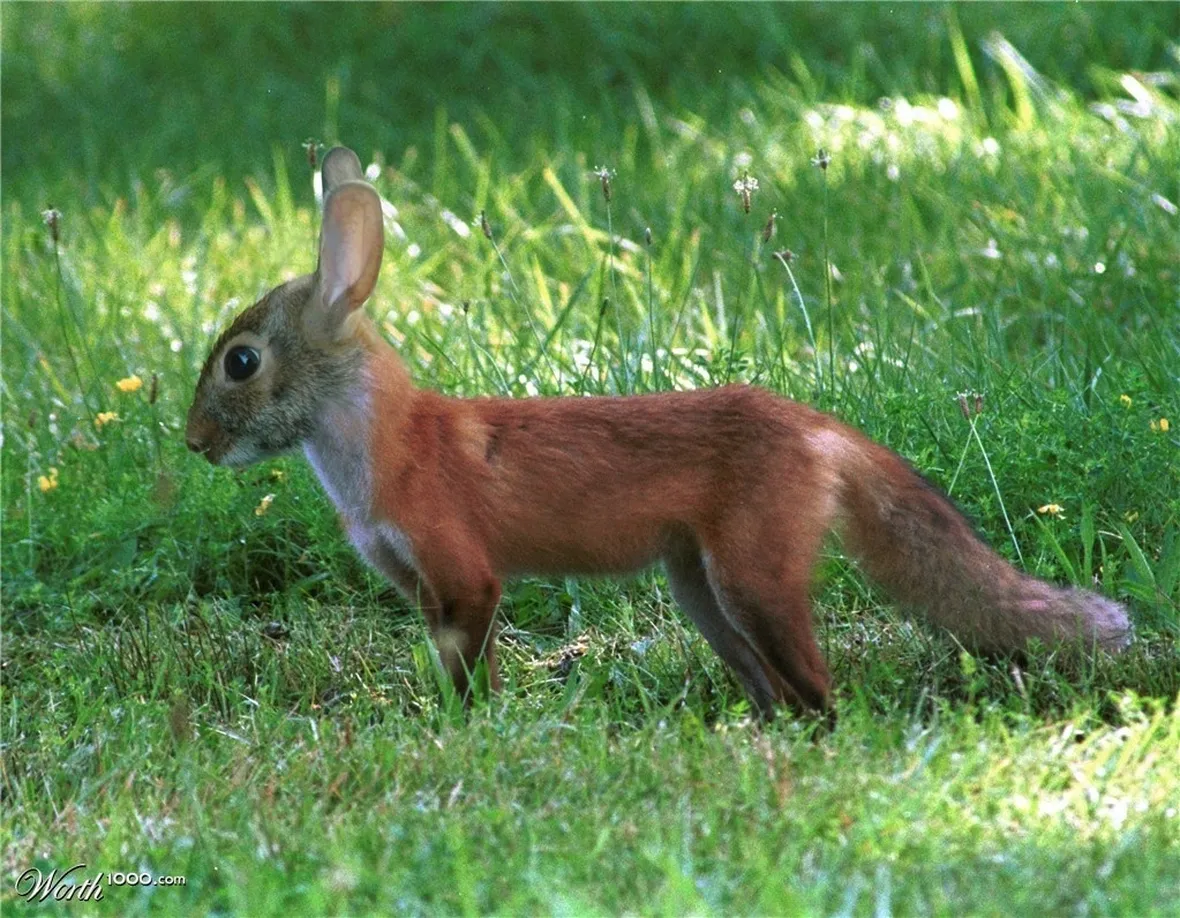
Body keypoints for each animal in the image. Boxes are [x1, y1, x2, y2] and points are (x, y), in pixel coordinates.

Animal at [185, 146, 1131, 718]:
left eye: (239, 362)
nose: (192, 442)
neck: (384, 457)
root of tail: (810, 418)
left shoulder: (468, 580)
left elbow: (474, 690)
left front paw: (469, 738)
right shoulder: (422, 592)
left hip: (750, 588)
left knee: (824, 696)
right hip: (704, 597)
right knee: (782, 698)